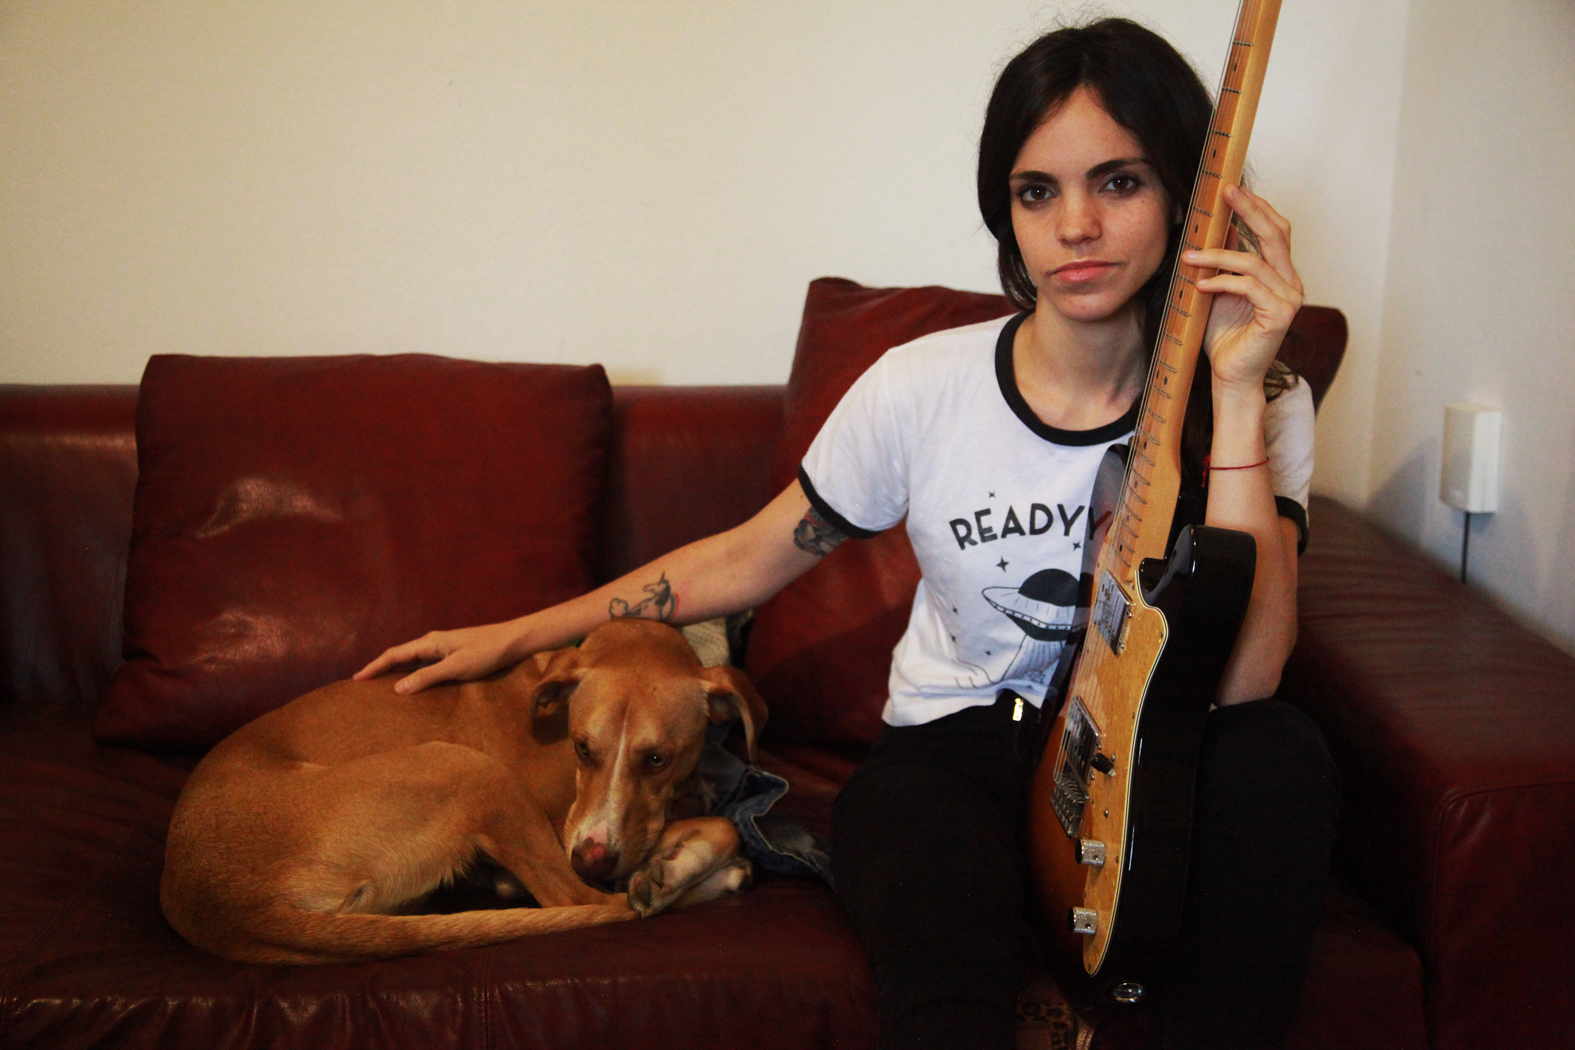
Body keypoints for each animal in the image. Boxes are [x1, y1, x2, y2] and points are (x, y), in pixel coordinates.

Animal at [163, 620, 765, 963]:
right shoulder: (566, 828)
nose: (592, 858)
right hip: (468, 769)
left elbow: (714, 821)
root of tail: (214, 906)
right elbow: (723, 827)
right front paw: (679, 867)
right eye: (581, 748)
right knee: (586, 901)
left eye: (657, 758)